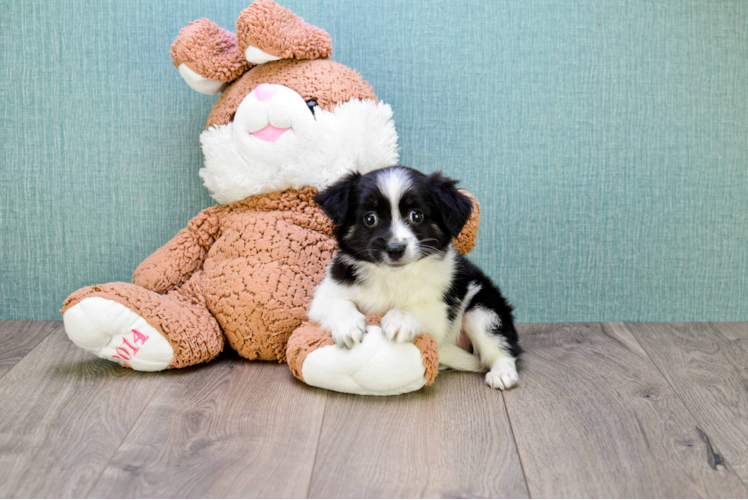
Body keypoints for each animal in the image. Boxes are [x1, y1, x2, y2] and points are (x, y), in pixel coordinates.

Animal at [310, 166, 520, 388]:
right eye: (370, 218)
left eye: (416, 215)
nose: (395, 248)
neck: (391, 276)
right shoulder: (327, 292)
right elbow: (338, 303)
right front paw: (348, 325)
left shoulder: (439, 313)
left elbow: (414, 307)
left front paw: (399, 320)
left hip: (483, 309)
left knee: (502, 347)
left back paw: (502, 373)